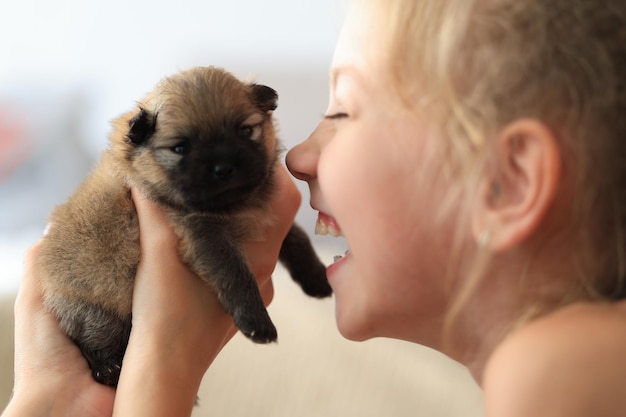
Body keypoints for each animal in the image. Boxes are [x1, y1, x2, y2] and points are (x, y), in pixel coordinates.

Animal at [37, 66, 332, 386]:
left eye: (245, 131)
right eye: (180, 147)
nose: (224, 168)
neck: (234, 207)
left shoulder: (265, 218)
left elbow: (298, 238)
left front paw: (316, 277)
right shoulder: (203, 235)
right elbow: (235, 274)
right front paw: (256, 320)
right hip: (96, 309)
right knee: (92, 340)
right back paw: (108, 369)